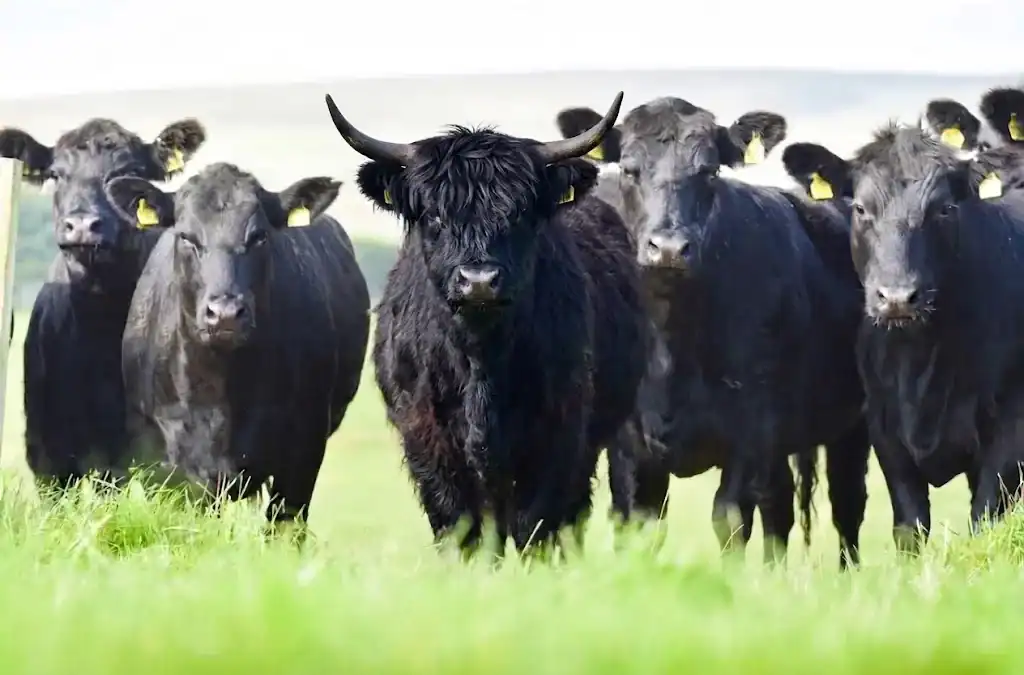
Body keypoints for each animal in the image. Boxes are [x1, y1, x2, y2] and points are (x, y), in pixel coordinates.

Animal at [323, 91, 651, 558]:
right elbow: (460, 527)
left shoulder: (557, 438)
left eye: (520, 213)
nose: (478, 281)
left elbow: (536, 527)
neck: (481, 360)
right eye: (434, 216)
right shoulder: (428, 438)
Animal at [555, 98, 871, 568]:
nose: (668, 248)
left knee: (846, 504)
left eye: (709, 171)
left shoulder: (750, 429)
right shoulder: (630, 444)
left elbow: (730, 518)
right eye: (629, 168)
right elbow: (639, 523)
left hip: (853, 424)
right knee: (779, 505)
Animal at [780, 123, 1024, 554]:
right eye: (861, 209)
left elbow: (985, 518)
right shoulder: (886, 431)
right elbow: (910, 526)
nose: (896, 297)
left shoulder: (1010, 429)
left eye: (944, 209)